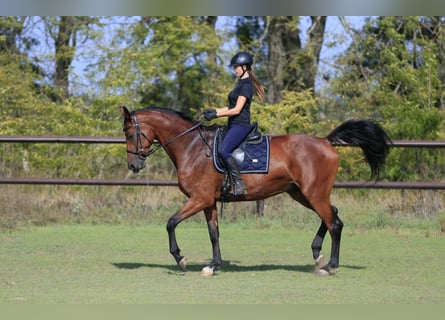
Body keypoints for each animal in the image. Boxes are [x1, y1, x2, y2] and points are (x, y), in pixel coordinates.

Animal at [119, 105, 390, 276]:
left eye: (130, 133)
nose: (134, 165)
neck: (192, 147)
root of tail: (325, 141)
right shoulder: (209, 201)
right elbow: (213, 233)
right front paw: (213, 265)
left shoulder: (199, 198)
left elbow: (171, 222)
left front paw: (180, 258)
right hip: (302, 193)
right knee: (333, 214)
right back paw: (317, 254)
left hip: (314, 193)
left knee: (334, 222)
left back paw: (330, 265)